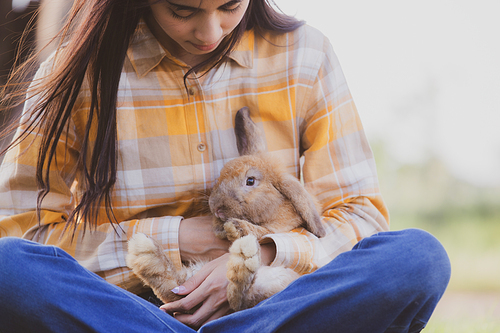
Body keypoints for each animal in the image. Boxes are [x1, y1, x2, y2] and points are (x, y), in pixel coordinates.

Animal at [127, 107, 326, 312]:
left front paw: (234, 228)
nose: (216, 207)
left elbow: (264, 232)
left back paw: (243, 260)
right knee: (176, 288)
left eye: (250, 181)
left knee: (242, 299)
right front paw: (220, 227)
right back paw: (146, 254)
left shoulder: (284, 227)